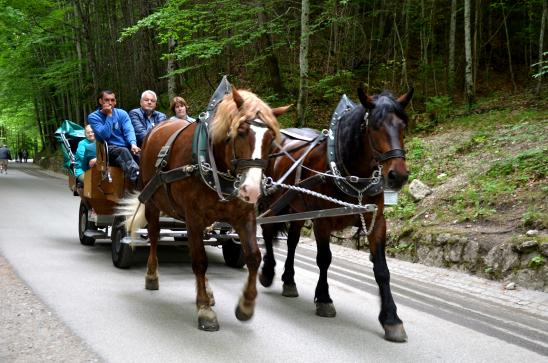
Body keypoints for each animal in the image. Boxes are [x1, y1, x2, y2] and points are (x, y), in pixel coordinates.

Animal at [122, 87, 288, 332]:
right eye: (241, 132)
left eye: (271, 140)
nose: (252, 190)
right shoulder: (194, 217)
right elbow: (200, 260)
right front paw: (204, 310)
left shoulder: (244, 216)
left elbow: (253, 257)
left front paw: (246, 305)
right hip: (152, 201)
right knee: (153, 234)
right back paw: (152, 275)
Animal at [260, 88, 414, 344]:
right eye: (374, 126)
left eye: (404, 125)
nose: (397, 176)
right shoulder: (322, 219)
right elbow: (324, 259)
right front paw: (324, 299)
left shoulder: (376, 221)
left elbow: (382, 270)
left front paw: (391, 319)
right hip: (272, 202)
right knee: (266, 231)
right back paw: (267, 271)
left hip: (298, 209)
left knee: (292, 242)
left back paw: (289, 280)